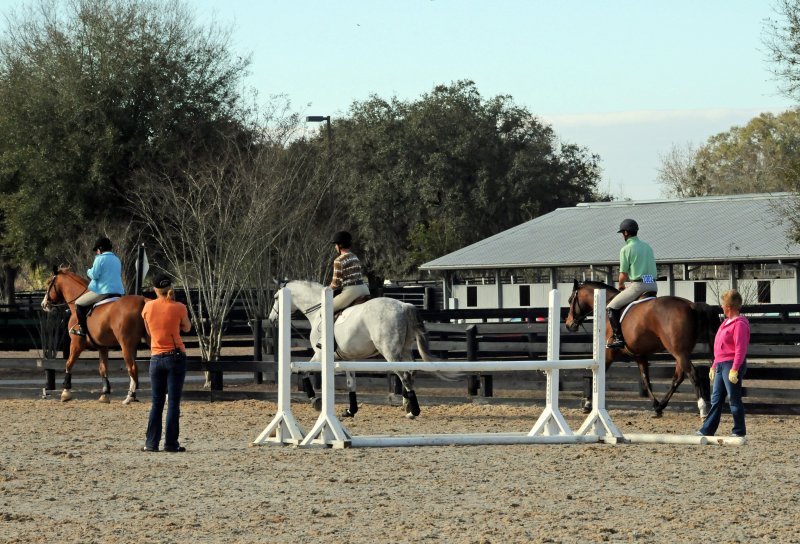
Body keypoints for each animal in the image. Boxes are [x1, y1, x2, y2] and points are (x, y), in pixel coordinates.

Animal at [40, 268, 148, 404]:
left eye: (49, 282)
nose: (43, 304)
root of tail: (142, 301)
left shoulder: (76, 344)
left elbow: (69, 363)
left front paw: (66, 392)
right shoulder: (102, 347)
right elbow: (103, 369)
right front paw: (105, 394)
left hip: (126, 345)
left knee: (133, 368)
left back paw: (130, 397)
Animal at [268, 280, 444, 420]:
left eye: (276, 297)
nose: (271, 319)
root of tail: (403, 305)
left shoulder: (320, 355)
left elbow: (303, 372)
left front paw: (315, 401)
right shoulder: (348, 359)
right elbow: (350, 383)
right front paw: (350, 410)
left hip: (390, 353)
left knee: (405, 375)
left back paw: (414, 411)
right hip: (405, 349)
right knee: (412, 371)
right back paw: (407, 405)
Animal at [564, 280, 720, 416]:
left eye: (570, 300)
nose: (568, 324)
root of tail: (691, 305)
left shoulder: (609, 352)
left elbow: (594, 375)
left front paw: (587, 404)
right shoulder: (639, 355)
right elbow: (645, 380)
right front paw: (655, 406)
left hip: (679, 352)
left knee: (692, 374)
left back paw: (702, 408)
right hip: (681, 353)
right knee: (678, 378)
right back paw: (662, 405)